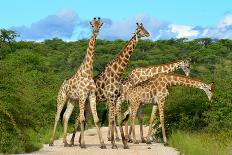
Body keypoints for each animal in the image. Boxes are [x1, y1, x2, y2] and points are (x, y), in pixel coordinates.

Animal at [49, 17, 106, 148]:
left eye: (100, 25)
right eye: (92, 25)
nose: (96, 32)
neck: (88, 72)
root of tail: (62, 85)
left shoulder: (91, 95)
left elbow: (96, 120)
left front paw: (103, 144)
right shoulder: (83, 95)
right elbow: (82, 119)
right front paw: (83, 144)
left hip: (71, 100)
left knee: (65, 116)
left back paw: (65, 142)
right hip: (62, 98)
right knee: (57, 116)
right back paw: (51, 142)